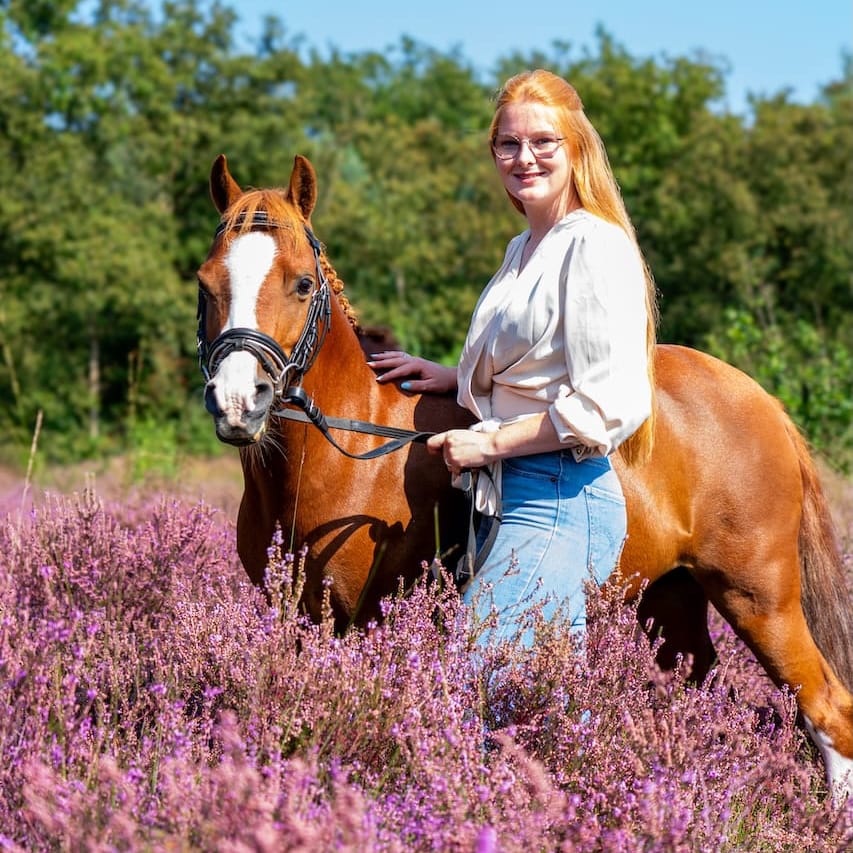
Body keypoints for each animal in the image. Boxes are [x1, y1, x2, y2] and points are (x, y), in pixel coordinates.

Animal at [197, 153, 853, 801]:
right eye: (206, 284)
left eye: (302, 283)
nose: (238, 401)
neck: (349, 448)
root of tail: (762, 401)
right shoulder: (295, 618)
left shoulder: (358, 619)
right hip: (673, 602)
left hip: (758, 598)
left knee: (827, 709)